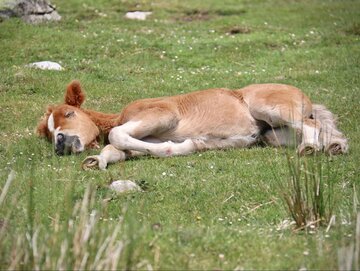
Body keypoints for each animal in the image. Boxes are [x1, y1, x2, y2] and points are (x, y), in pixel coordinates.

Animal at [37, 80, 348, 170]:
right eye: (49, 133)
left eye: (69, 114)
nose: (60, 144)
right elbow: (116, 148)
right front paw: (96, 161)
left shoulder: (162, 115)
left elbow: (115, 134)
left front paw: (178, 147)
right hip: (272, 135)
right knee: (321, 127)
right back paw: (334, 146)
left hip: (271, 109)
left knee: (310, 125)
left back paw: (310, 149)